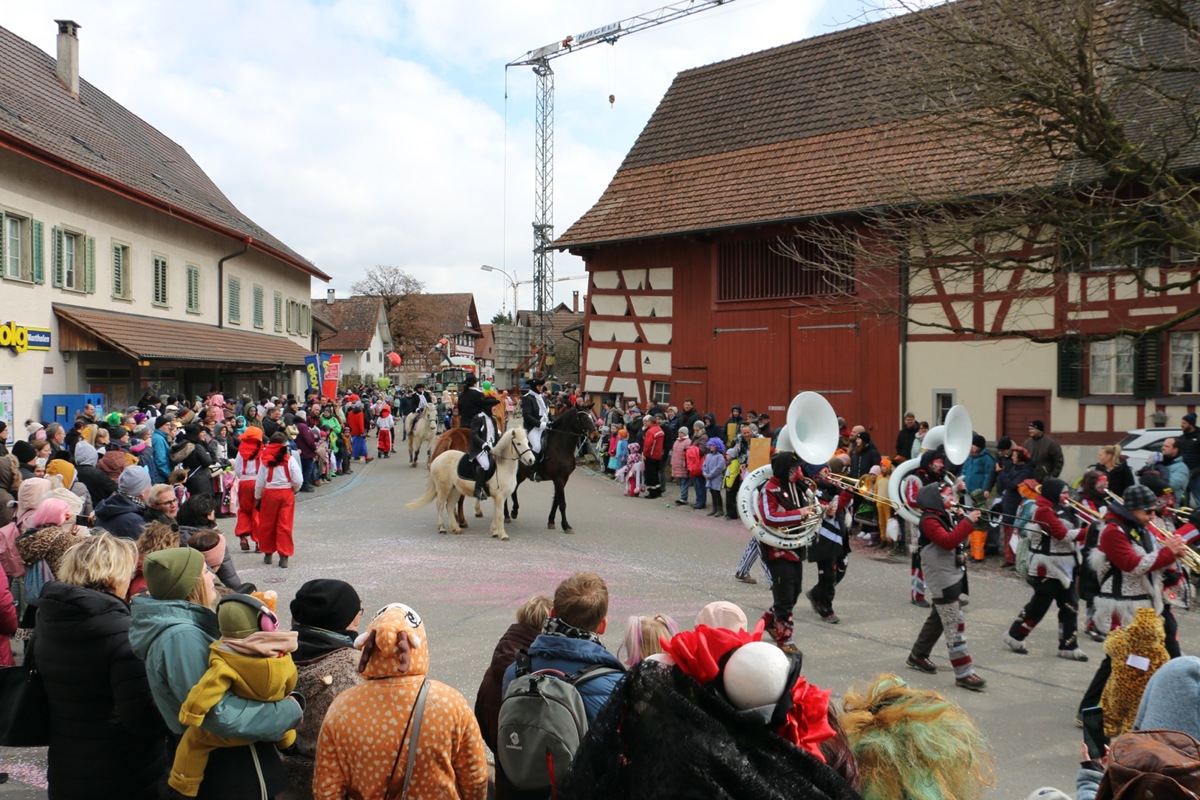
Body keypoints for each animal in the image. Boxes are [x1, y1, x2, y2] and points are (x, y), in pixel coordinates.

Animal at [506, 402, 600, 534]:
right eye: (584, 418)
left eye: (592, 417)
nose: (596, 436)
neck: (561, 446)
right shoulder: (559, 478)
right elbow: (562, 503)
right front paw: (566, 526)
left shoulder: (563, 479)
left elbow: (556, 501)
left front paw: (551, 521)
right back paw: (507, 515)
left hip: (521, 475)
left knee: (514, 489)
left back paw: (514, 511)